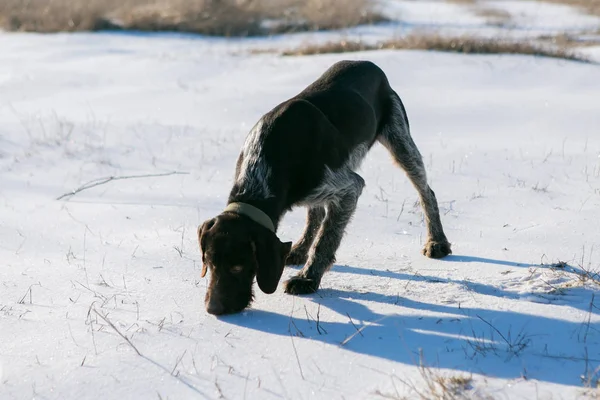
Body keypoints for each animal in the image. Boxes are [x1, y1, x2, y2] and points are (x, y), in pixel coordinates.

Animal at [197, 59, 450, 316]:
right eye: (208, 262)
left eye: (238, 266)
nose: (213, 309)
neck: (263, 165)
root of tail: (368, 63)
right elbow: (318, 223)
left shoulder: (349, 188)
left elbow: (326, 240)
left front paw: (307, 278)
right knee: (316, 213)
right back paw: (299, 249)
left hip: (400, 140)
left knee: (426, 192)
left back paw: (437, 241)